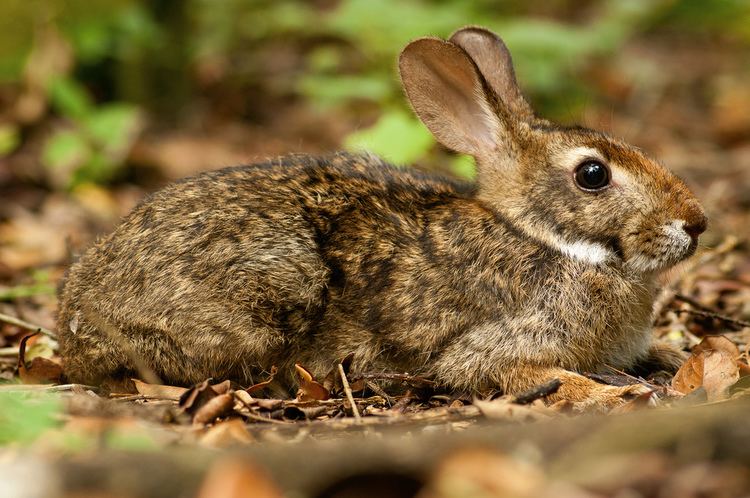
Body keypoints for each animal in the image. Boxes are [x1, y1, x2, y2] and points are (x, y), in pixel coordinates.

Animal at [57, 27, 704, 406]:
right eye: (593, 174)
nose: (696, 222)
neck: (544, 237)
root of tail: (75, 322)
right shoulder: (497, 344)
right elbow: (509, 370)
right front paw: (609, 392)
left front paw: (678, 359)